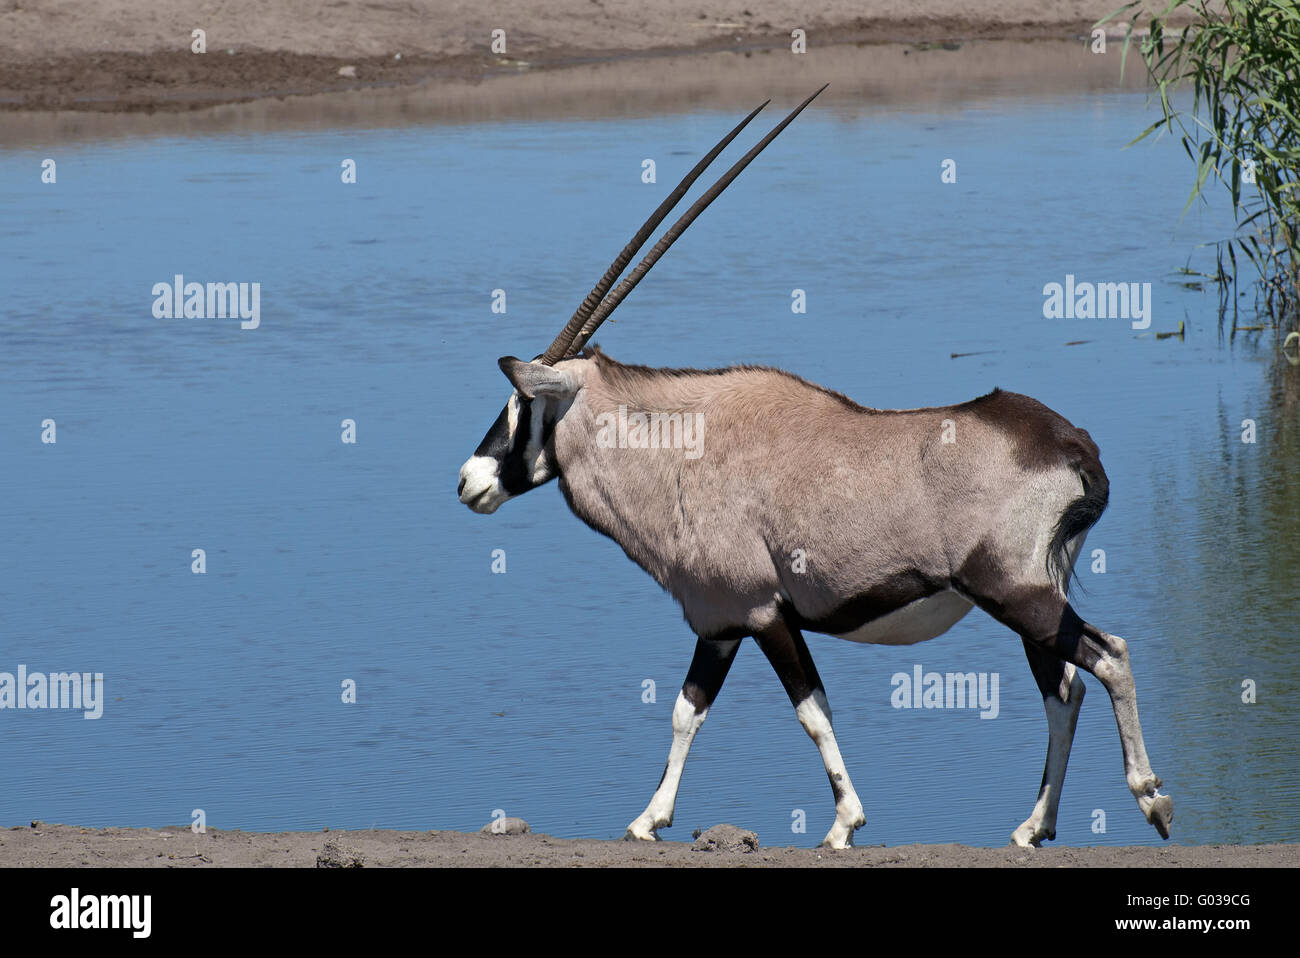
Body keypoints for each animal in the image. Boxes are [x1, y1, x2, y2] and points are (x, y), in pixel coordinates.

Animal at [460, 87, 1180, 842]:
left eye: (522, 404)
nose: (469, 481)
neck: (682, 449)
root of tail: (1070, 443)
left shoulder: (763, 612)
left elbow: (811, 711)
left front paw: (842, 824)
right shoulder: (720, 624)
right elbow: (688, 711)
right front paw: (648, 819)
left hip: (1017, 593)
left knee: (1108, 657)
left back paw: (1150, 798)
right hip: (1037, 595)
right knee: (1064, 688)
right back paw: (1030, 828)